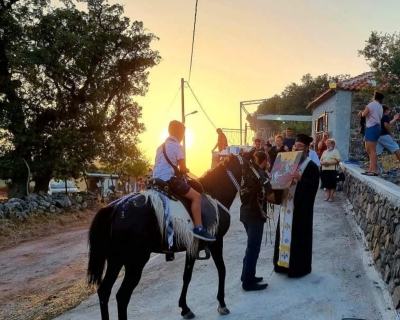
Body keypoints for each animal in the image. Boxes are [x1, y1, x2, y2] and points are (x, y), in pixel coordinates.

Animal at [87, 153, 276, 320]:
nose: (270, 188)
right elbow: (222, 269)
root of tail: (116, 208)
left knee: (104, 291)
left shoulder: (193, 246)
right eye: (257, 166)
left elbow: (187, 276)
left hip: (116, 260)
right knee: (122, 296)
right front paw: (222, 303)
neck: (214, 192)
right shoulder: (216, 242)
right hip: (135, 261)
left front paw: (185, 308)